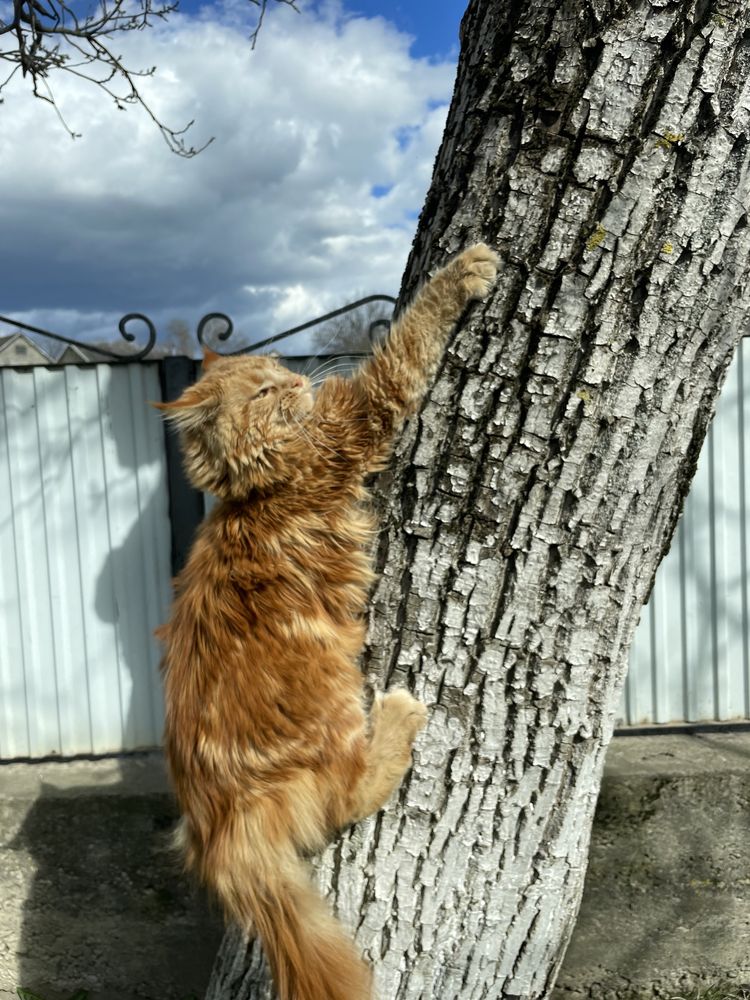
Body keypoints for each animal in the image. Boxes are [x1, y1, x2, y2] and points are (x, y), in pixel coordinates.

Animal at [156, 242, 500, 1000]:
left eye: (276, 370)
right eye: (262, 392)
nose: (295, 377)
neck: (256, 488)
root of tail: (223, 825)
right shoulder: (362, 415)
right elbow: (409, 337)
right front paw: (466, 268)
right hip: (334, 698)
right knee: (353, 791)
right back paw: (399, 717)